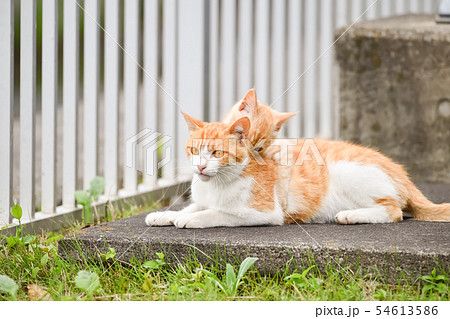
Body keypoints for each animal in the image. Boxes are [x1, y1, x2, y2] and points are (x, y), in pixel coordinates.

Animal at [147, 90, 450, 229]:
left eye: (217, 153)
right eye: (193, 150)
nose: (200, 166)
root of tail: (401, 173)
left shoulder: (264, 212)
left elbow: (216, 213)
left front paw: (189, 220)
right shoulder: (202, 198)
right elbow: (191, 207)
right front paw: (165, 215)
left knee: (393, 210)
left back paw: (351, 215)